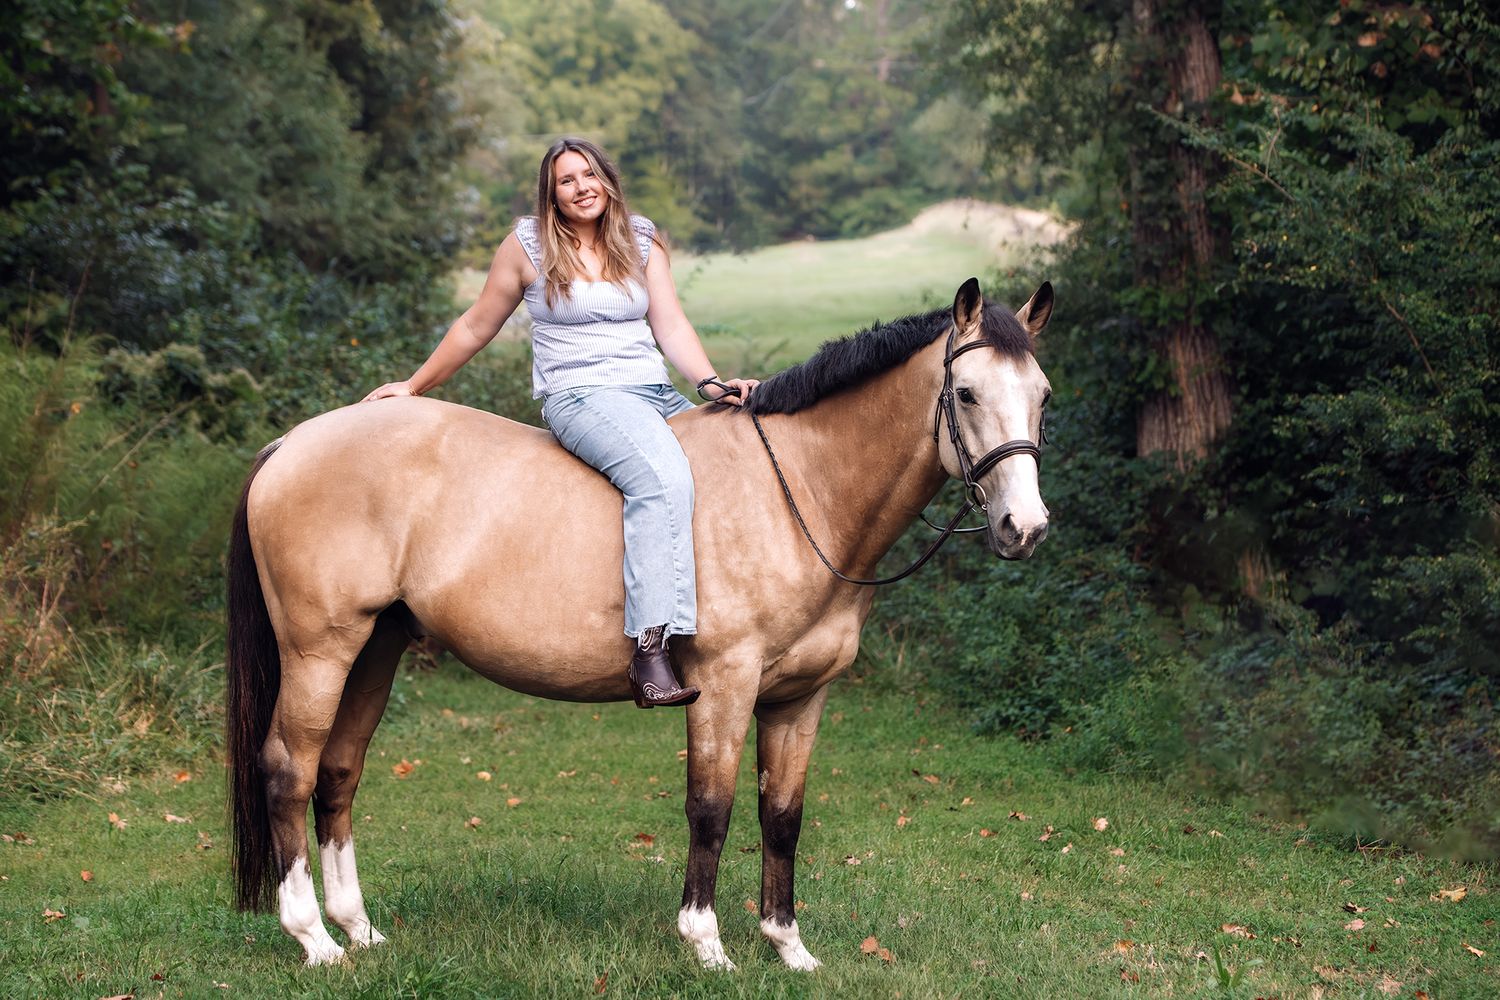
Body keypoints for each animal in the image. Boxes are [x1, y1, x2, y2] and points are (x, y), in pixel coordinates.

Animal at [225, 277, 1054, 969]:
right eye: (967, 393)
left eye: (1042, 395)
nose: (1026, 528)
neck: (797, 490)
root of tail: (291, 443)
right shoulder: (724, 685)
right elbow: (711, 809)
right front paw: (707, 945)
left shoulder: (800, 699)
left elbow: (782, 816)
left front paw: (788, 947)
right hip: (320, 650)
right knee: (289, 771)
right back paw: (313, 939)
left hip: (376, 647)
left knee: (338, 773)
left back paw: (358, 929)